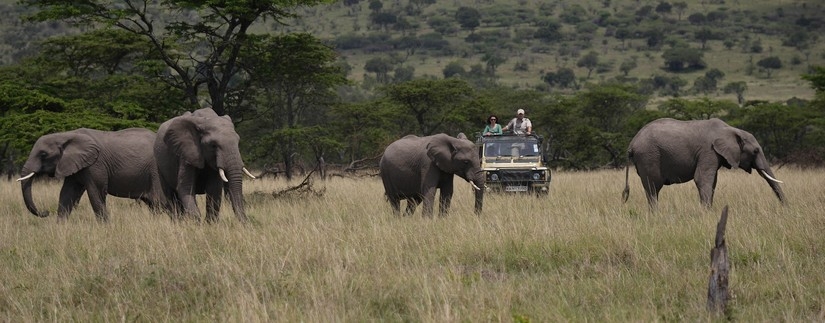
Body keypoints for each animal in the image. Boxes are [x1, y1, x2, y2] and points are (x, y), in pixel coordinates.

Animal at [18, 128, 166, 221]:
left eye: (43, 154)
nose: (46, 212)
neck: (66, 135)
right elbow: (67, 193)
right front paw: (60, 228)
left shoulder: (95, 165)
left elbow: (96, 193)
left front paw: (105, 228)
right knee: (153, 204)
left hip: (156, 170)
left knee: (160, 201)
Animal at [616, 118, 784, 208]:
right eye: (755, 151)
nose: (785, 207)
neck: (730, 129)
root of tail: (632, 144)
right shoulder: (708, 151)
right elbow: (702, 179)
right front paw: (706, 212)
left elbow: (713, 182)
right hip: (649, 156)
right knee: (653, 187)